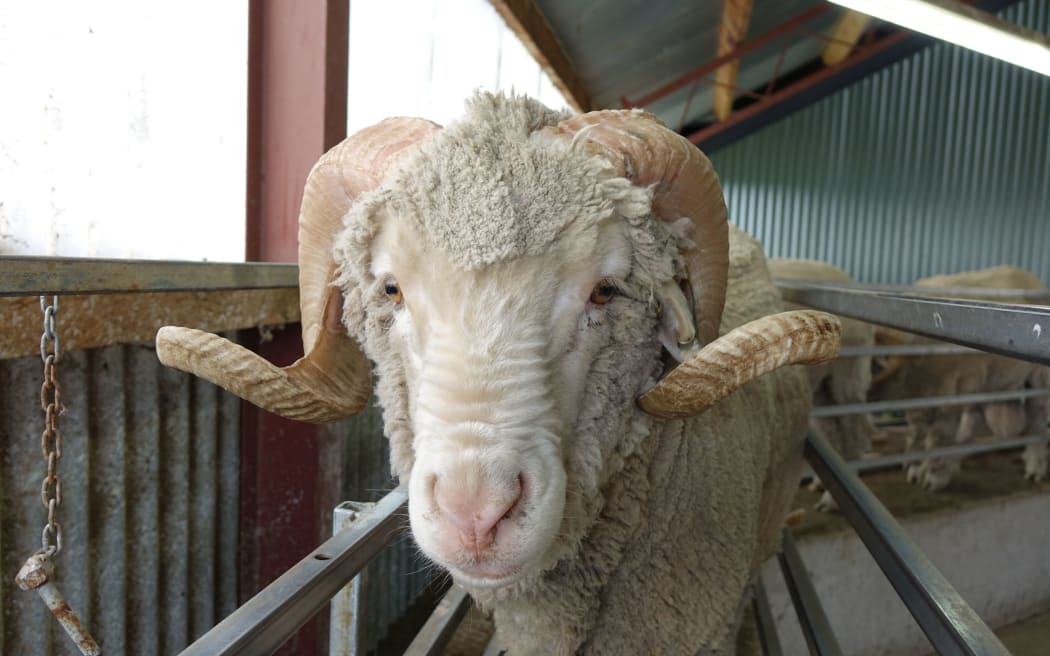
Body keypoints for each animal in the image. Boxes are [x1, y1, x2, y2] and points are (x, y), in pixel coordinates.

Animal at [768, 258, 881, 511]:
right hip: (820, 384)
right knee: (831, 430)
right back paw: (822, 484)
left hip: (848, 373)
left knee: (856, 431)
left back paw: (833, 500)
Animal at [870, 266, 1049, 491]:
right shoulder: (919, 396)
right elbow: (917, 432)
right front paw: (915, 466)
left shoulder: (953, 391)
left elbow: (937, 437)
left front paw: (930, 475)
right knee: (971, 426)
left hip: (1037, 378)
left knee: (1037, 419)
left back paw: (1035, 465)